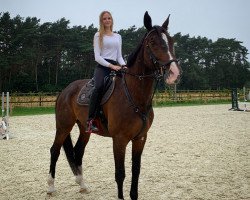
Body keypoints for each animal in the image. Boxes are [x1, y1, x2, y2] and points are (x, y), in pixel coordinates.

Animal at [47, 11, 181, 200]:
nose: (174, 73)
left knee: (78, 152)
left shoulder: (140, 138)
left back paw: (83, 185)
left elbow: (136, 170)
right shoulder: (119, 140)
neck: (134, 95)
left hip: (84, 129)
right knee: (55, 151)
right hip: (64, 126)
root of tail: (65, 90)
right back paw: (51, 187)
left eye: (171, 40)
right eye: (153, 42)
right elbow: (120, 173)